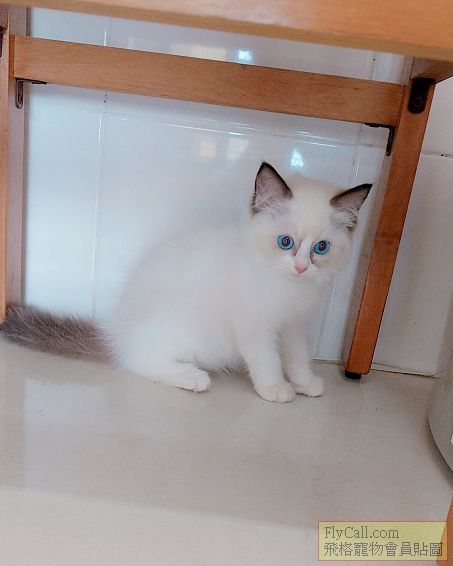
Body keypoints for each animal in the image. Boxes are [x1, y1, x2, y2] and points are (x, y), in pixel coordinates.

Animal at [1, 163, 371, 402]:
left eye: (321, 248)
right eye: (285, 242)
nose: (301, 267)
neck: (287, 287)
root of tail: (116, 332)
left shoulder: (294, 325)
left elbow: (297, 357)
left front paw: (305, 383)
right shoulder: (255, 325)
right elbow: (267, 358)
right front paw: (276, 389)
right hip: (185, 333)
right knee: (138, 361)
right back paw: (193, 377)